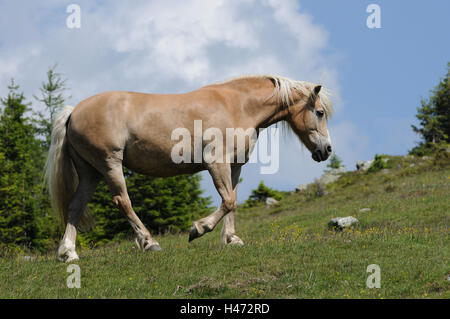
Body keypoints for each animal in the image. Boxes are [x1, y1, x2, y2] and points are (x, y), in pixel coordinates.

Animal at [44, 75, 334, 262]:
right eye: (319, 112)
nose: (327, 150)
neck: (237, 106)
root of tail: (73, 111)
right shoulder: (216, 162)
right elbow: (227, 201)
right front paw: (198, 229)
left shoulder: (234, 166)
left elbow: (232, 201)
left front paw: (232, 239)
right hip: (110, 164)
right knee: (122, 202)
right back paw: (149, 242)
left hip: (90, 173)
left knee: (75, 206)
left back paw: (68, 253)